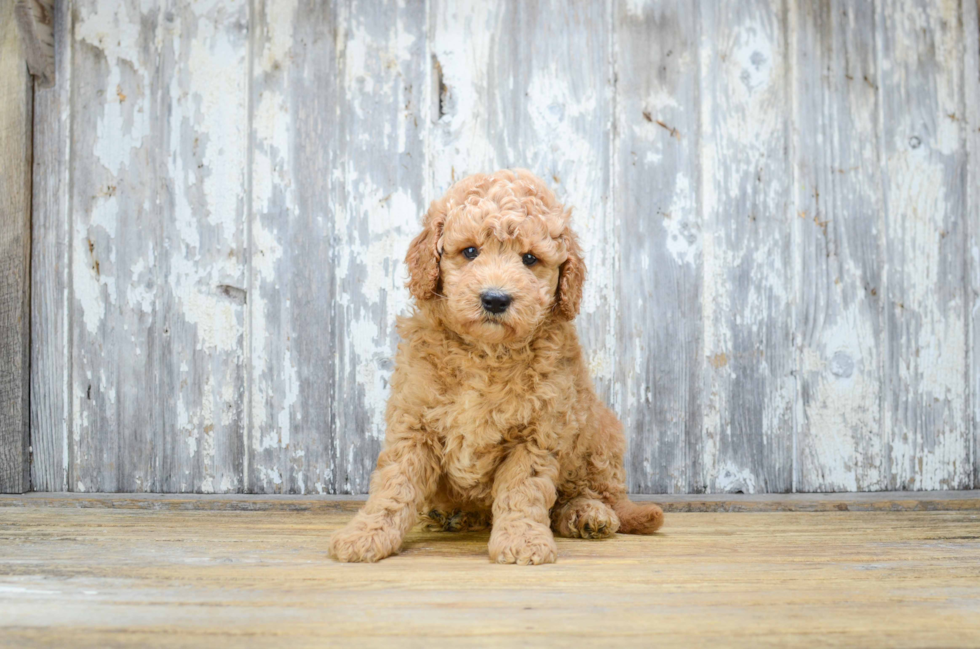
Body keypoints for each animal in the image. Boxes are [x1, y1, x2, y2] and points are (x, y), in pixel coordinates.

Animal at [332, 170, 668, 564]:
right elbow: (394, 485)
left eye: (529, 259)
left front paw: (522, 540)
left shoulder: (538, 431)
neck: (486, 352)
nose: (495, 299)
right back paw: (452, 514)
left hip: (598, 436)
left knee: (594, 492)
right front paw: (367, 533)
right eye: (470, 252)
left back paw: (588, 514)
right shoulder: (414, 422)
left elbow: (523, 490)